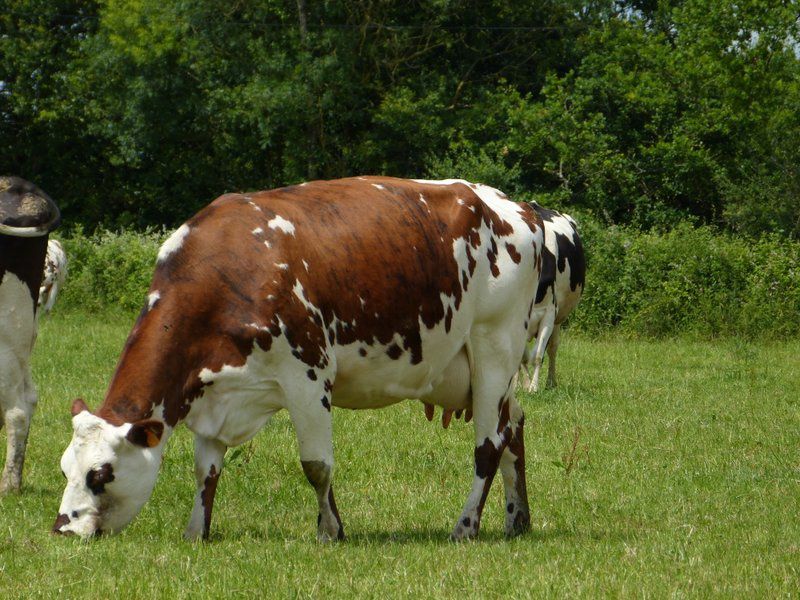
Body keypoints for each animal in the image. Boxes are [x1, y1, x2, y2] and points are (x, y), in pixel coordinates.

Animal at [54, 176, 544, 540]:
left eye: (101, 474)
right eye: (65, 470)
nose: (62, 529)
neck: (228, 269)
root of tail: (515, 207)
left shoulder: (308, 375)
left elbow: (316, 466)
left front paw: (331, 530)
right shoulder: (213, 393)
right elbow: (205, 470)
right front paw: (197, 532)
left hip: (495, 345)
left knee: (488, 445)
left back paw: (466, 526)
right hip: (470, 371)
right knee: (513, 425)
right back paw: (517, 518)